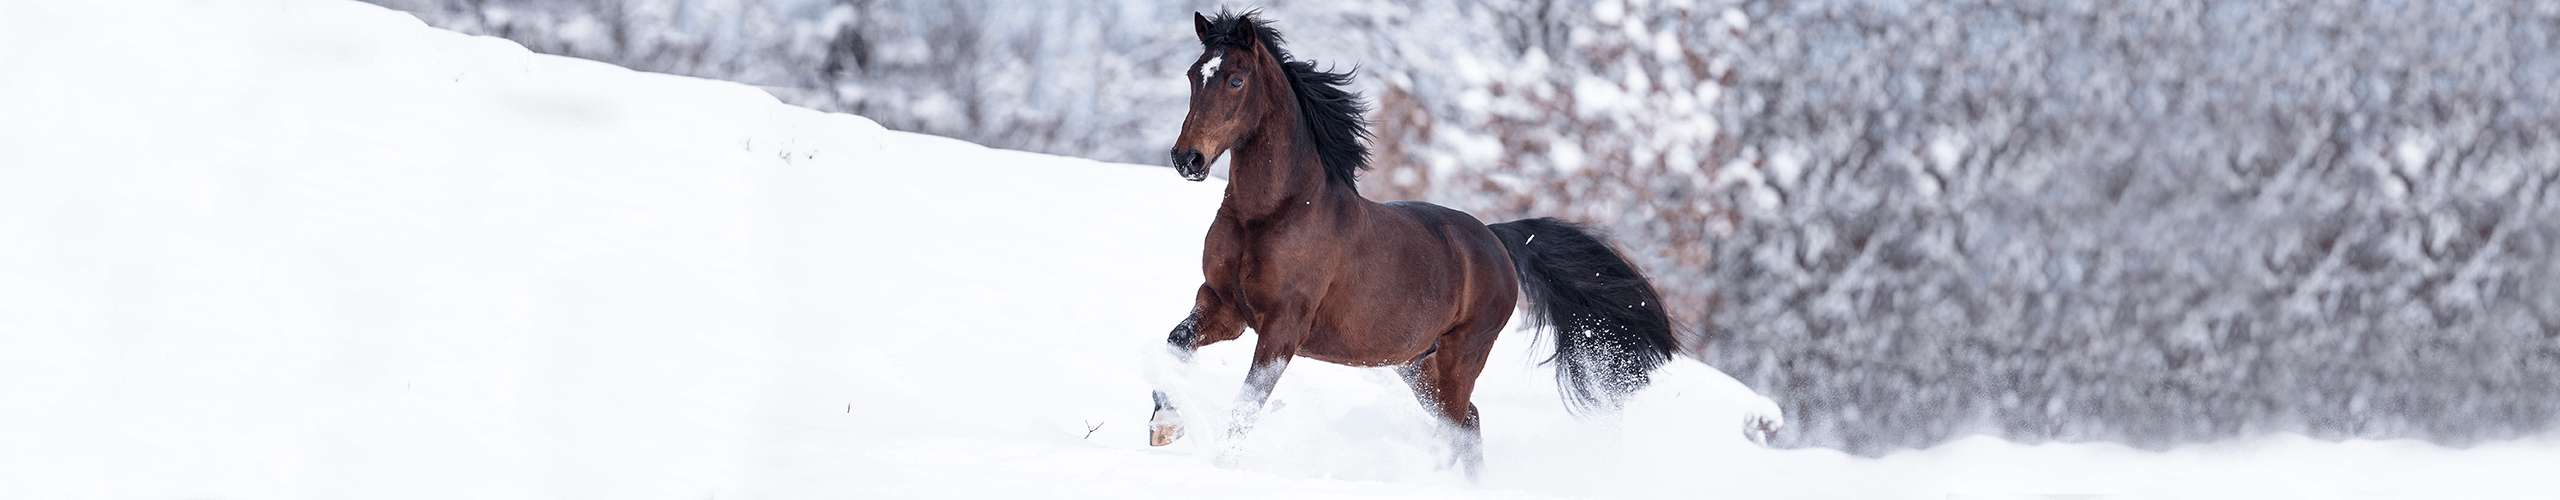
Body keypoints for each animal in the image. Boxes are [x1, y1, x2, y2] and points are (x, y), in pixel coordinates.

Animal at [1157, 9, 1679, 474]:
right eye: (1193, 75)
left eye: (1235, 81)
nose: (1187, 159)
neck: (1270, 215)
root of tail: (1496, 239)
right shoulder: (1223, 304)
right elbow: (1175, 344)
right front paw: (1164, 427)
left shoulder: (1283, 327)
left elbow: (1247, 403)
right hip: (1416, 365)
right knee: (1468, 422)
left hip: (1460, 358)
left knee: (1461, 424)